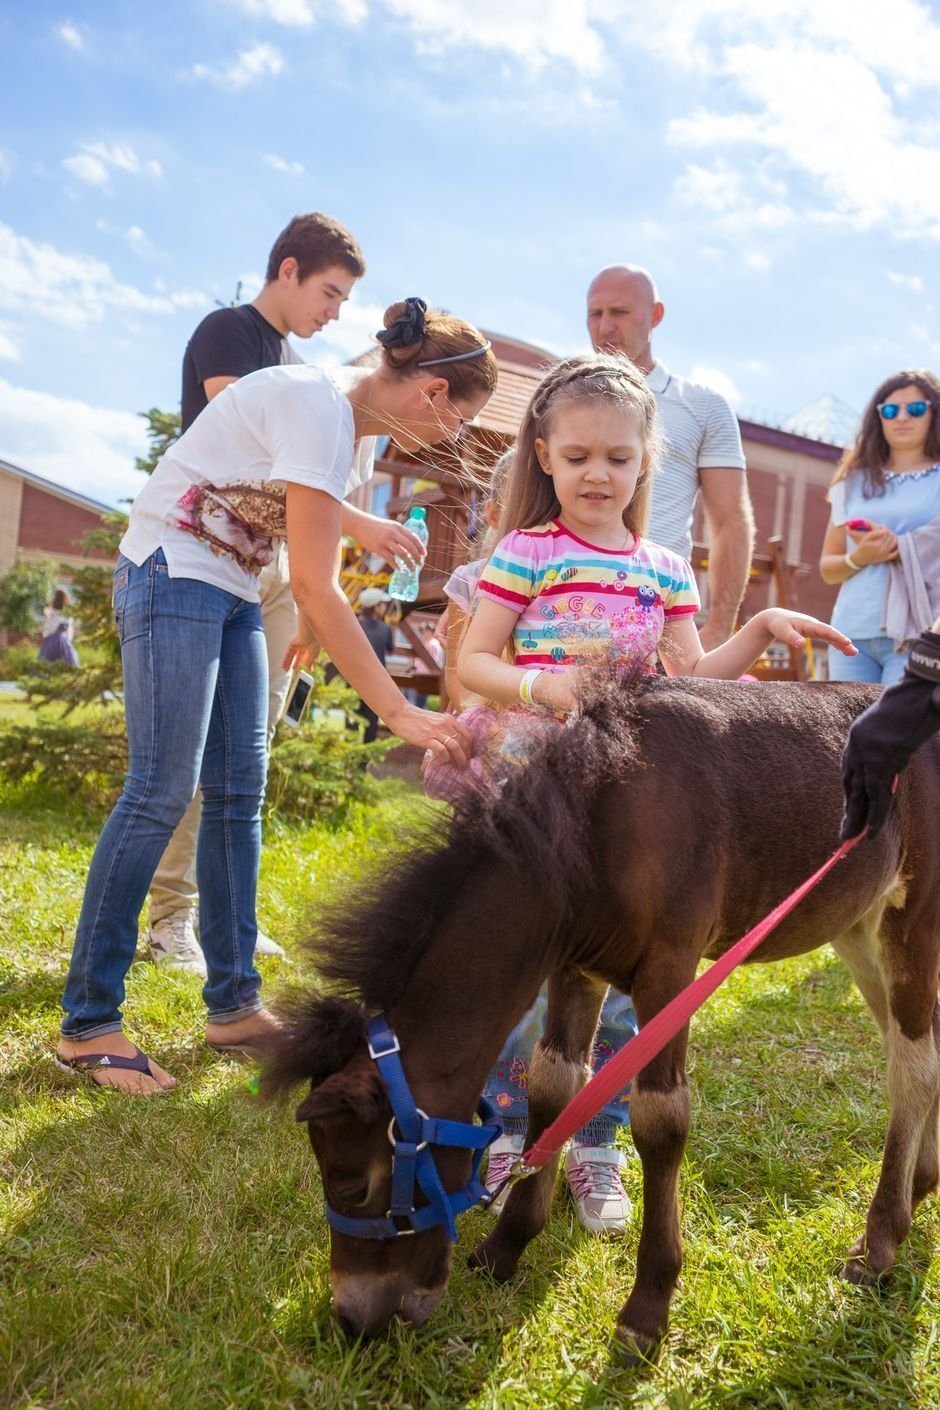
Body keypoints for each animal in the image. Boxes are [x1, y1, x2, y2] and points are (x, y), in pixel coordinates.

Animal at [264, 676, 940, 1359]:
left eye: (352, 1187)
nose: (352, 1319)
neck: (600, 821)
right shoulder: (575, 969)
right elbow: (553, 1087)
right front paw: (506, 1246)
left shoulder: (670, 971)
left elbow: (661, 1122)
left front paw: (648, 1305)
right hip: (856, 926)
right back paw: (919, 1188)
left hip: (911, 924)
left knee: (913, 1067)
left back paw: (881, 1238)